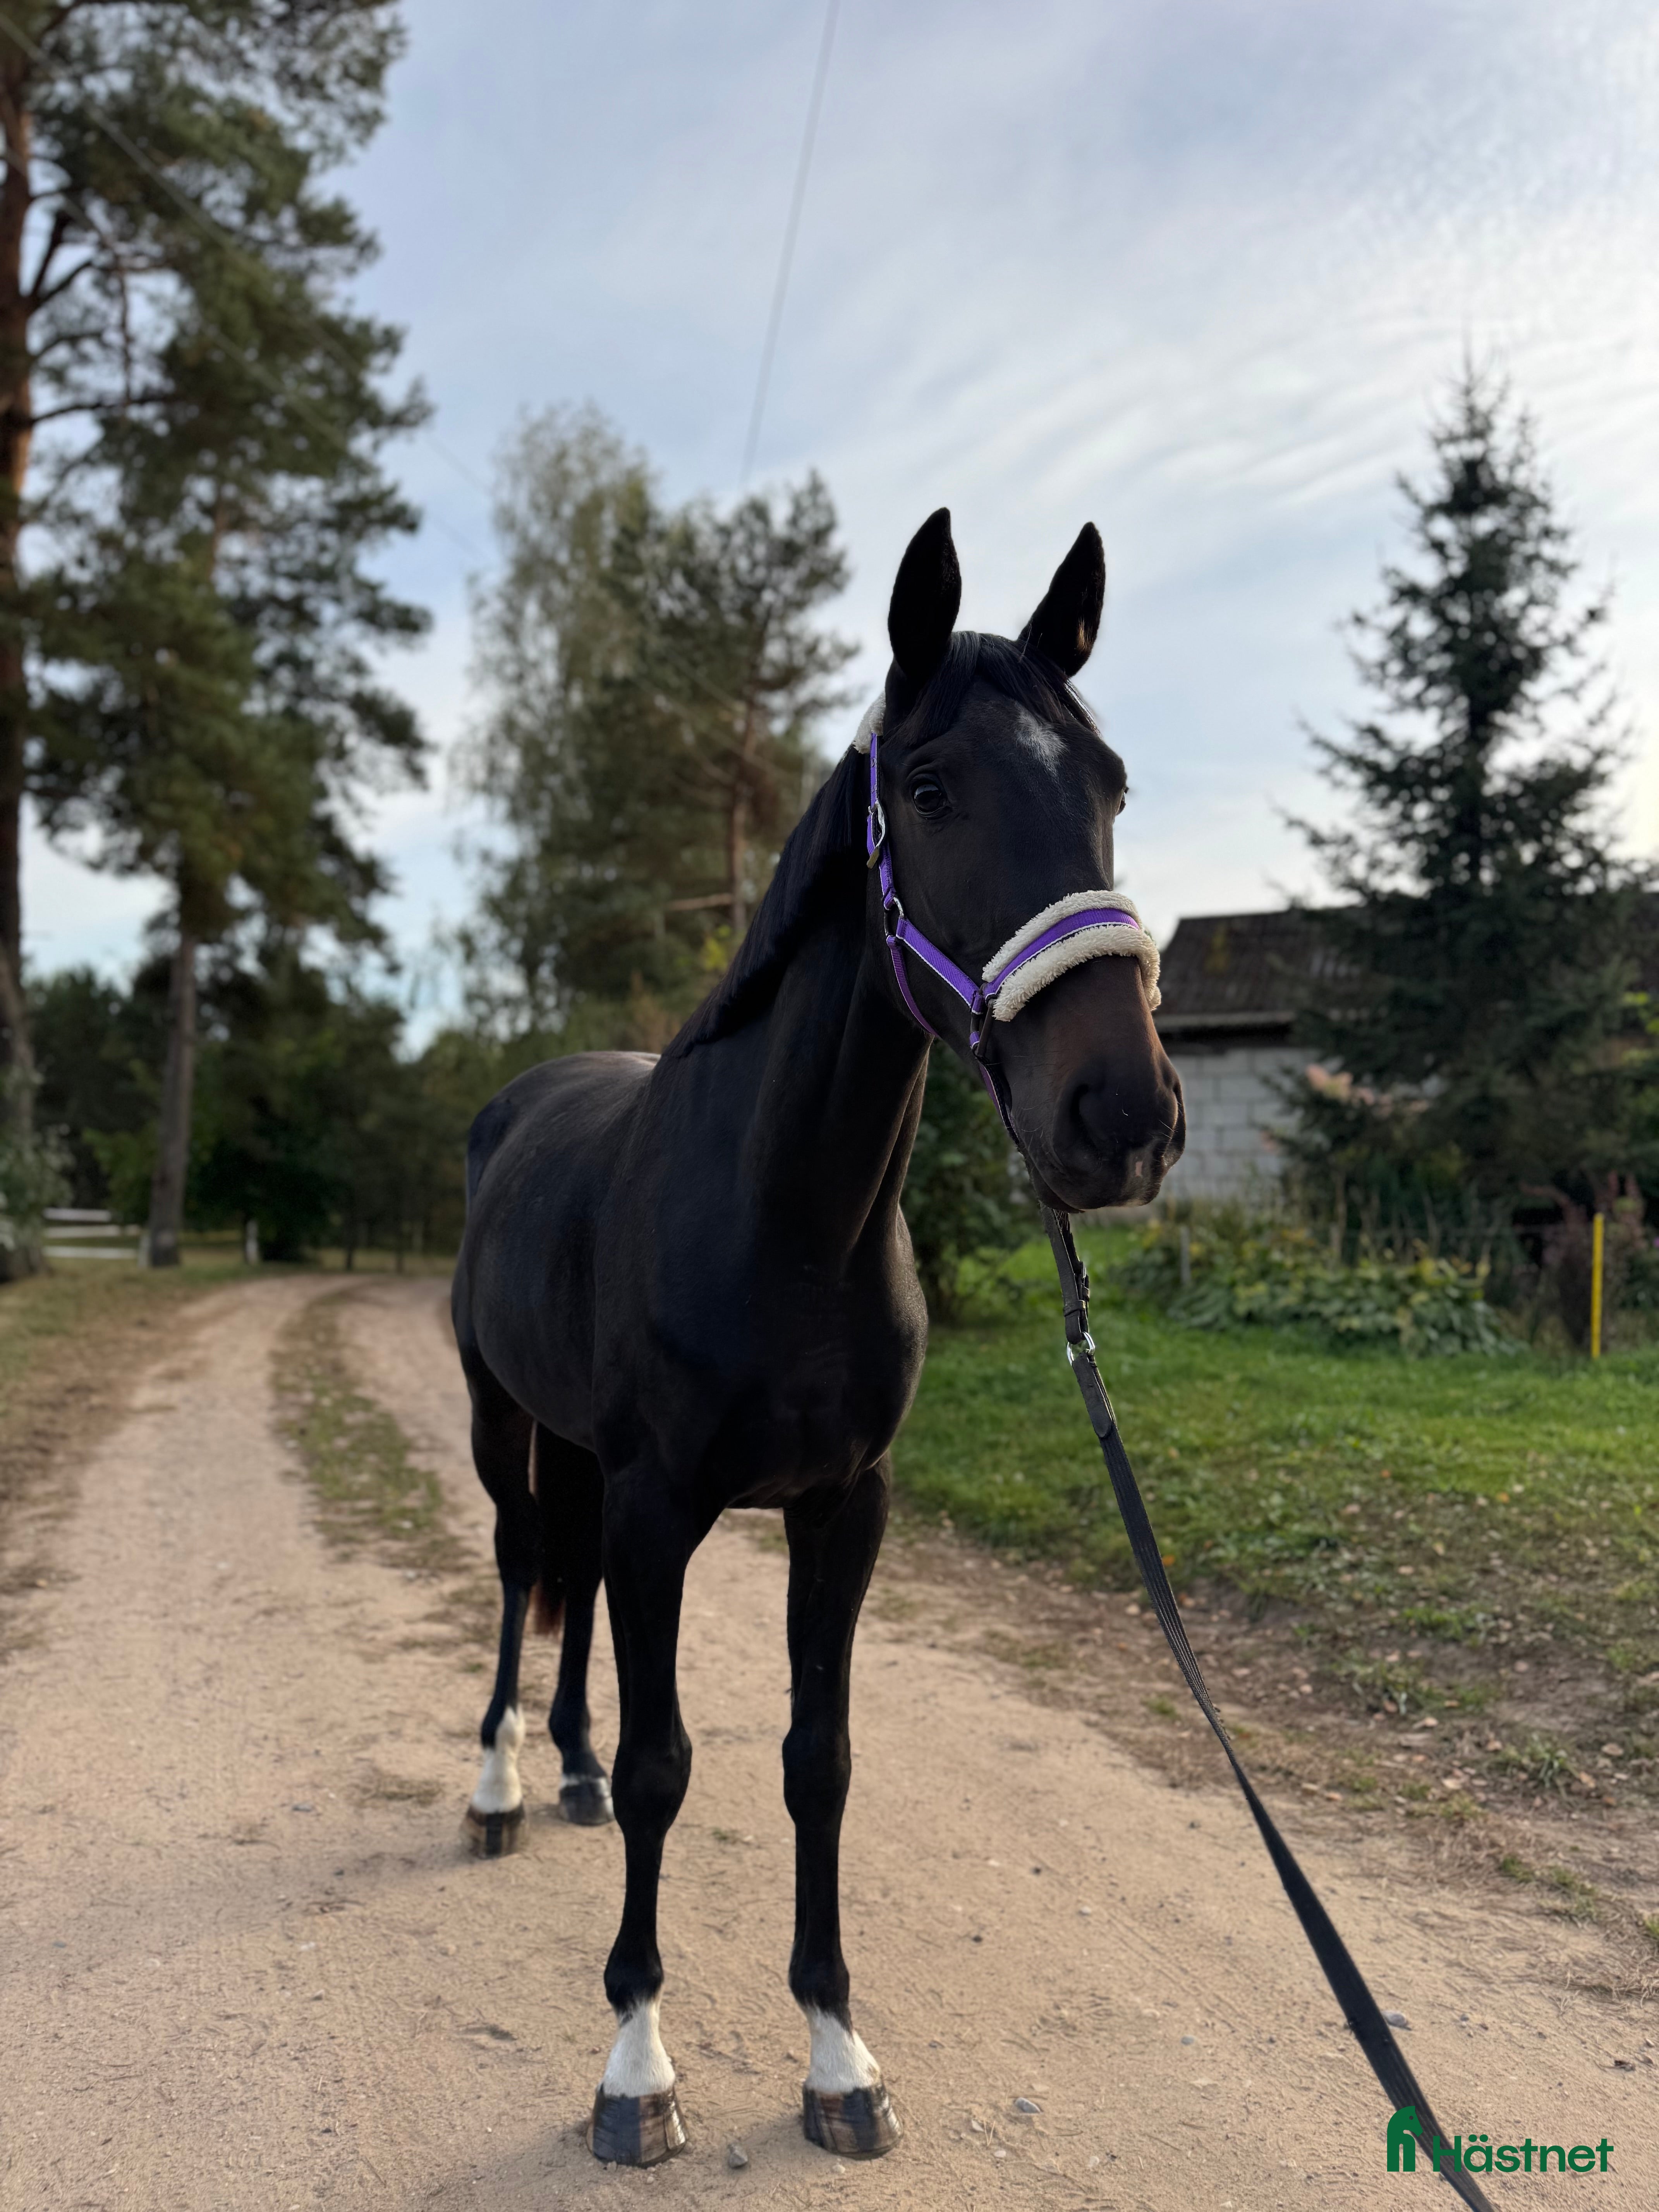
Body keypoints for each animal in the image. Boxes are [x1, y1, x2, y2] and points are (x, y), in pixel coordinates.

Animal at [449, 507, 1185, 2166]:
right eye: (929, 788)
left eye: (1110, 784)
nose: (1119, 1116)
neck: (776, 1219)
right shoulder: (663, 1504)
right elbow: (672, 1764)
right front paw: (635, 2067)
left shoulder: (843, 1510)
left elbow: (816, 1763)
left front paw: (840, 2056)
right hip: (501, 1421)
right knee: (526, 1570)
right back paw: (503, 1785)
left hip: (588, 1457)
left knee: (572, 1601)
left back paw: (566, 1773)